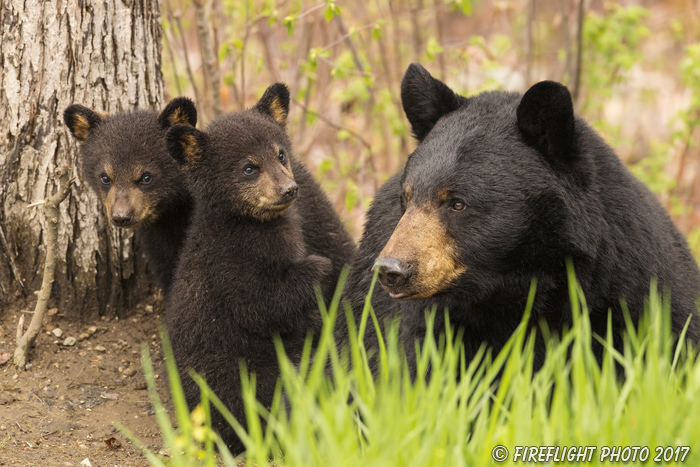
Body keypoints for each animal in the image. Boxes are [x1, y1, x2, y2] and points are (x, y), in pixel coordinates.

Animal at [165, 82, 356, 456]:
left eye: (280, 154)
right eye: (249, 168)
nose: (289, 189)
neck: (251, 227)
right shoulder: (229, 268)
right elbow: (260, 306)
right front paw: (316, 271)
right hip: (245, 375)